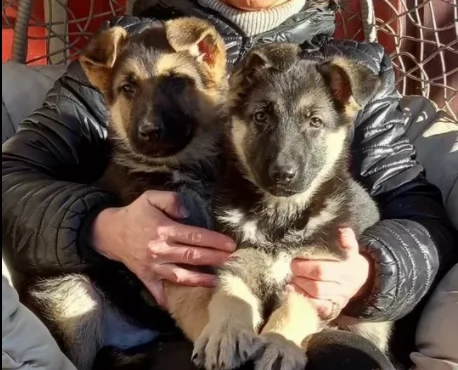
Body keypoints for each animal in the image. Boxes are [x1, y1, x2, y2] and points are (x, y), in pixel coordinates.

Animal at [21, 17, 229, 370]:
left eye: (177, 82)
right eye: (127, 89)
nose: (149, 131)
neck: (187, 166)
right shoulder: (176, 259)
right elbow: (201, 305)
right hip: (70, 296)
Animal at [187, 44, 394, 370]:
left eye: (315, 122)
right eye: (261, 116)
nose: (282, 174)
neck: (280, 215)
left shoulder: (316, 276)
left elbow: (294, 307)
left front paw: (279, 344)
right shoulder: (238, 260)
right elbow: (229, 296)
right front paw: (224, 333)